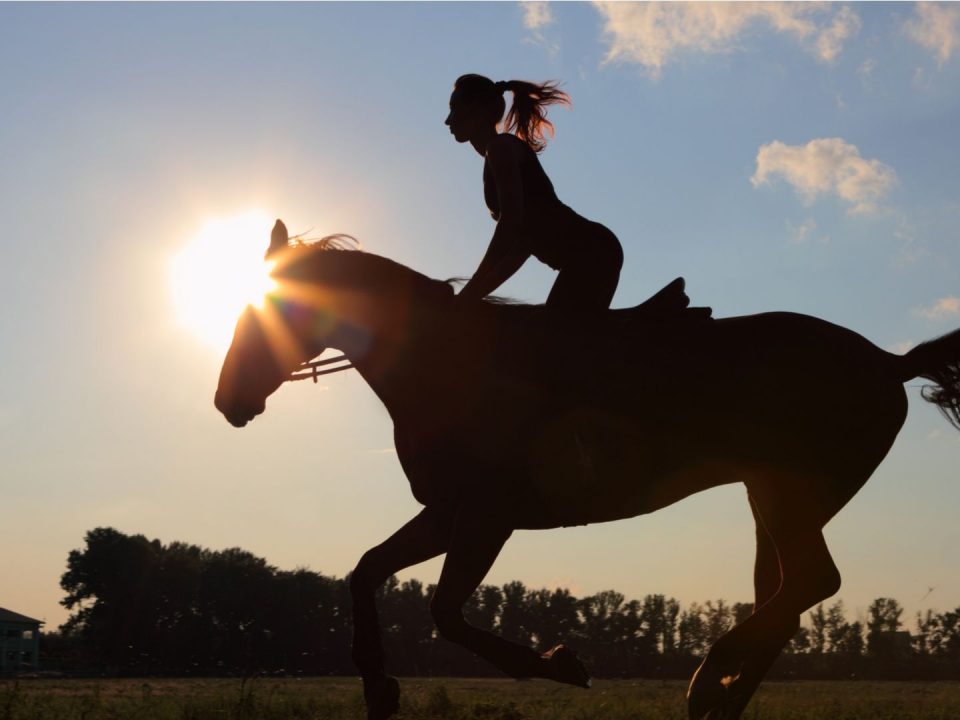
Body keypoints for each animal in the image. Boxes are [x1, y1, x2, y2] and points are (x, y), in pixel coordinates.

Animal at [216, 221, 960, 720]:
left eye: (273, 309)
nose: (228, 401)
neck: (441, 362)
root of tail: (888, 361)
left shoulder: (487, 517)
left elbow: (445, 612)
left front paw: (556, 663)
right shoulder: (448, 512)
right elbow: (367, 570)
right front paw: (377, 686)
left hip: (786, 493)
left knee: (807, 583)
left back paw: (707, 678)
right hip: (772, 500)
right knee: (785, 599)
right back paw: (718, 697)